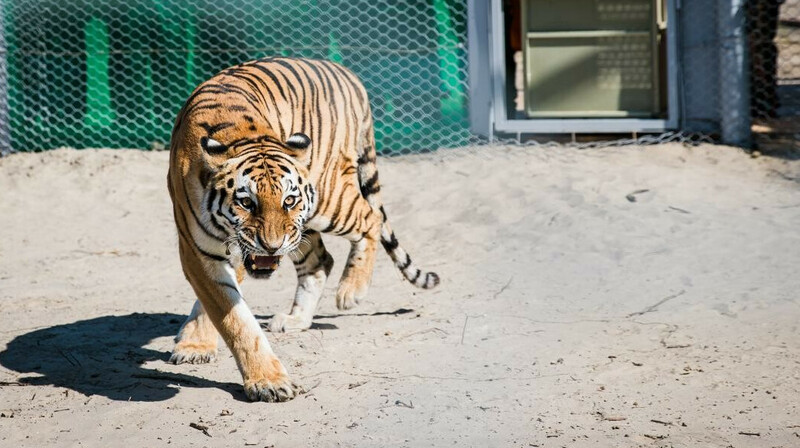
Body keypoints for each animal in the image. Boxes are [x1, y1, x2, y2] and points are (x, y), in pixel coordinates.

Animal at [167, 57, 438, 402]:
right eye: (246, 202)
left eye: (288, 199)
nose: (271, 246)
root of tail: (347, 73)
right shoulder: (198, 250)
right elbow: (231, 316)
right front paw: (200, 346)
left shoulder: (233, 251)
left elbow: (230, 316)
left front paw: (266, 381)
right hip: (303, 227)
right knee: (321, 260)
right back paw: (296, 319)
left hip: (327, 200)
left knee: (370, 218)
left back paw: (351, 291)